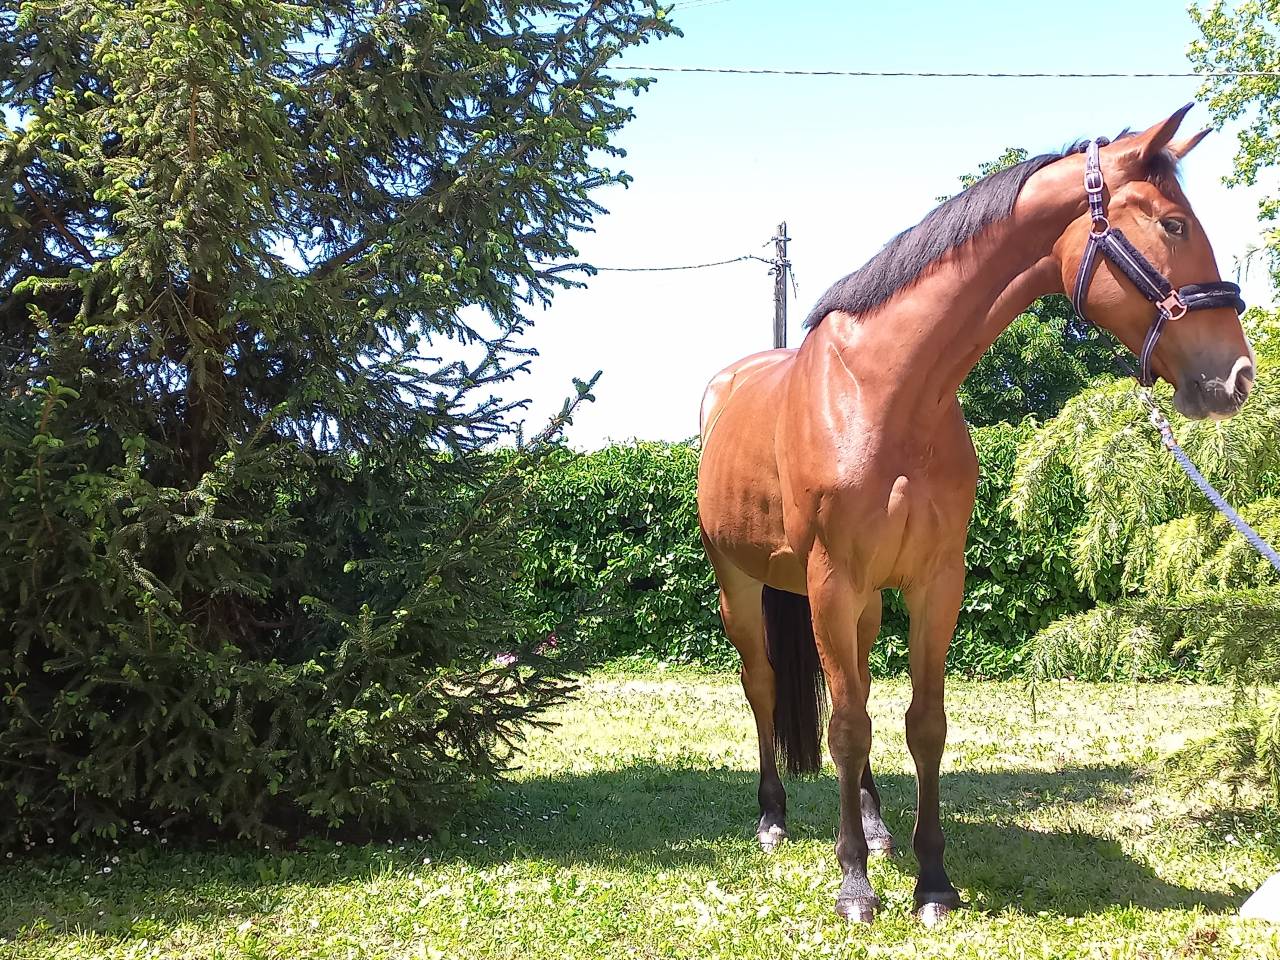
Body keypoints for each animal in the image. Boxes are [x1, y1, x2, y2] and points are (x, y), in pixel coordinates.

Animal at [696, 105, 1254, 926]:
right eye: (1174, 224)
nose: (1237, 376)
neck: (887, 392)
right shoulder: (832, 579)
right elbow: (845, 725)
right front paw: (855, 884)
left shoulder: (935, 581)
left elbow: (920, 725)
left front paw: (930, 879)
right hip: (744, 584)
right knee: (764, 686)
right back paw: (773, 819)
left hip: (862, 605)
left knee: (858, 693)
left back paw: (875, 826)